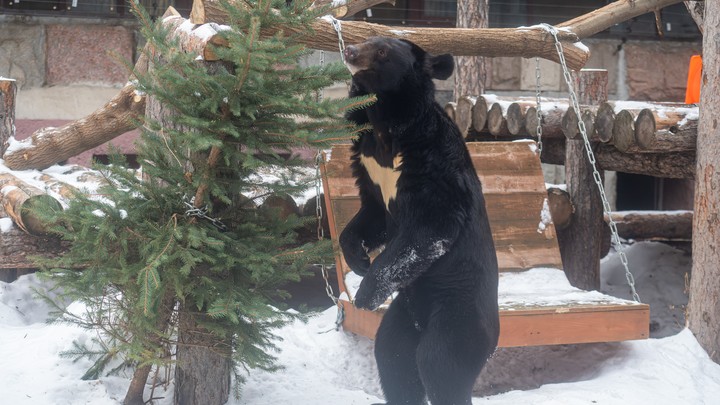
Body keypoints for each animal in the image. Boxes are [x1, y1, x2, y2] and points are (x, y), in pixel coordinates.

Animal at [338, 35, 498, 404]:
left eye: (382, 51)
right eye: (366, 39)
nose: (349, 51)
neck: (386, 126)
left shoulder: (434, 164)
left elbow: (431, 228)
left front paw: (366, 292)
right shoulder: (367, 161)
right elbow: (371, 213)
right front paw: (358, 261)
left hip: (458, 311)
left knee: (440, 364)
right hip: (403, 317)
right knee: (393, 357)